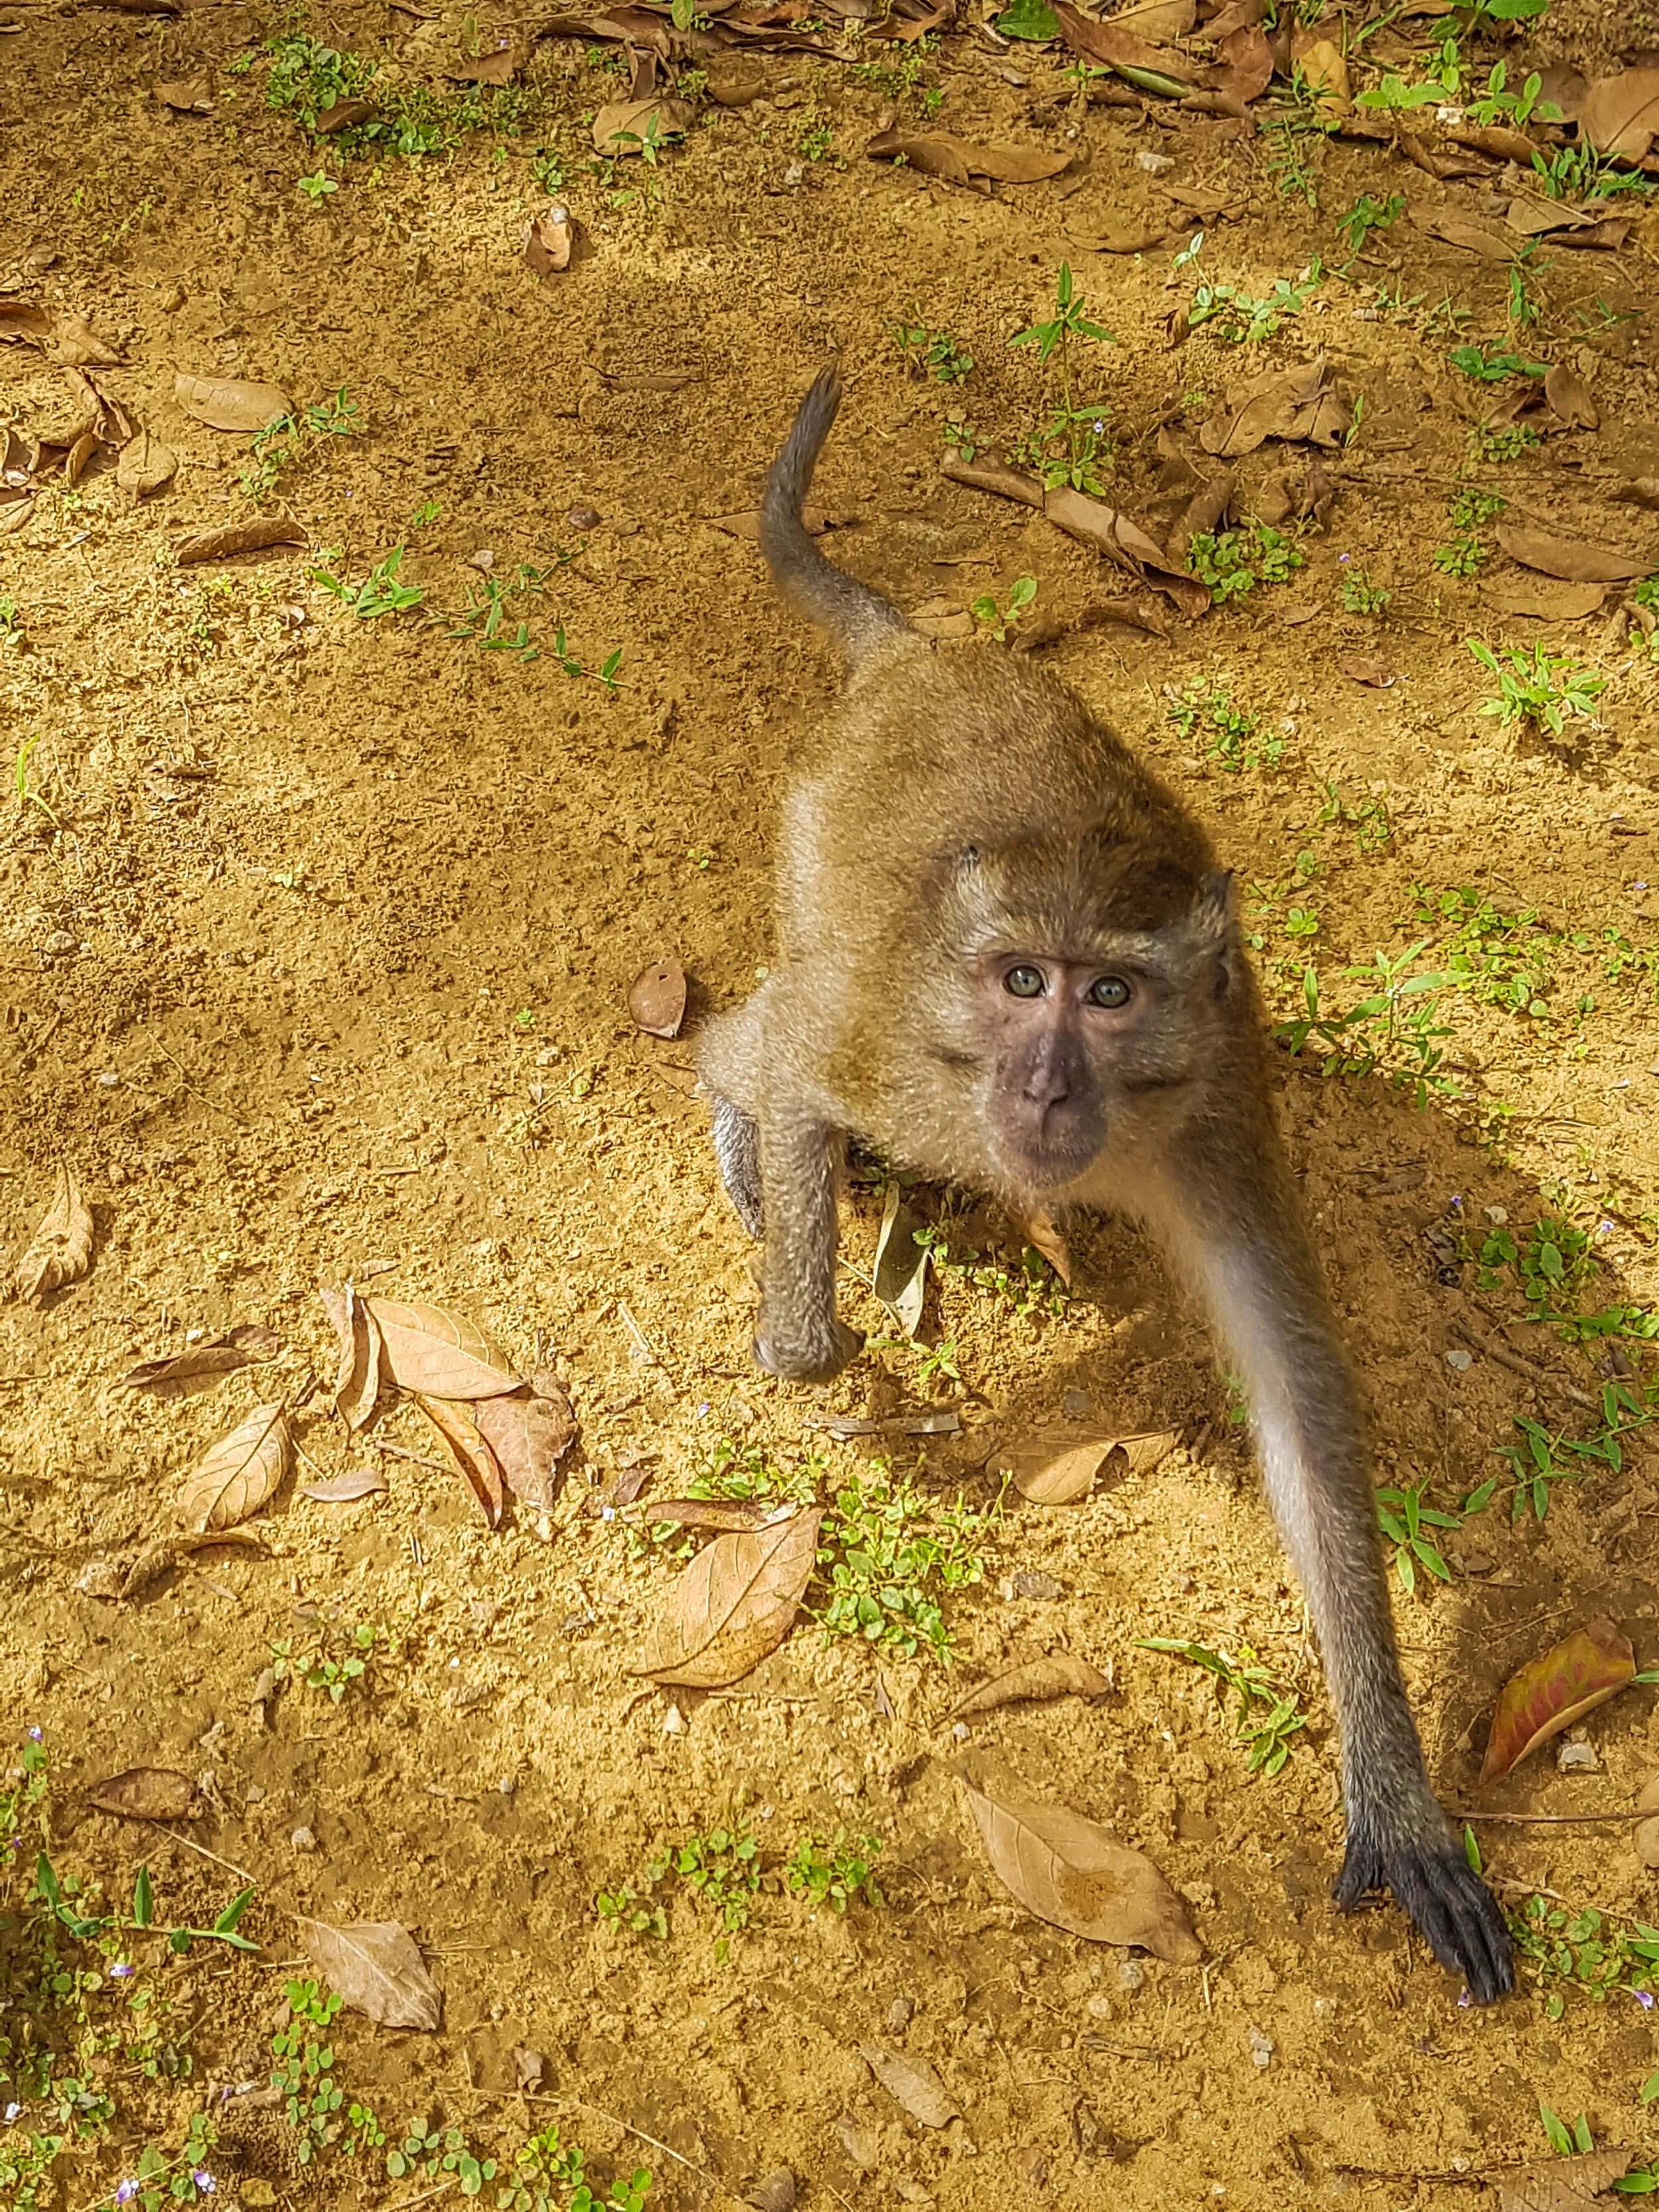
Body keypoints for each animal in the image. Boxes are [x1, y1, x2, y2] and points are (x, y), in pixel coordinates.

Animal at [697, 362, 1513, 2005]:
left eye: (1114, 998)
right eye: (1023, 982)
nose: (1043, 1091)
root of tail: (921, 655)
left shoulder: (1220, 1115)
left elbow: (1298, 1398)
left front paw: (1395, 1788)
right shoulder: (915, 1060)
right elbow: (808, 1092)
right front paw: (805, 1324)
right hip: (817, 864)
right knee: (773, 1018)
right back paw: (734, 1100)